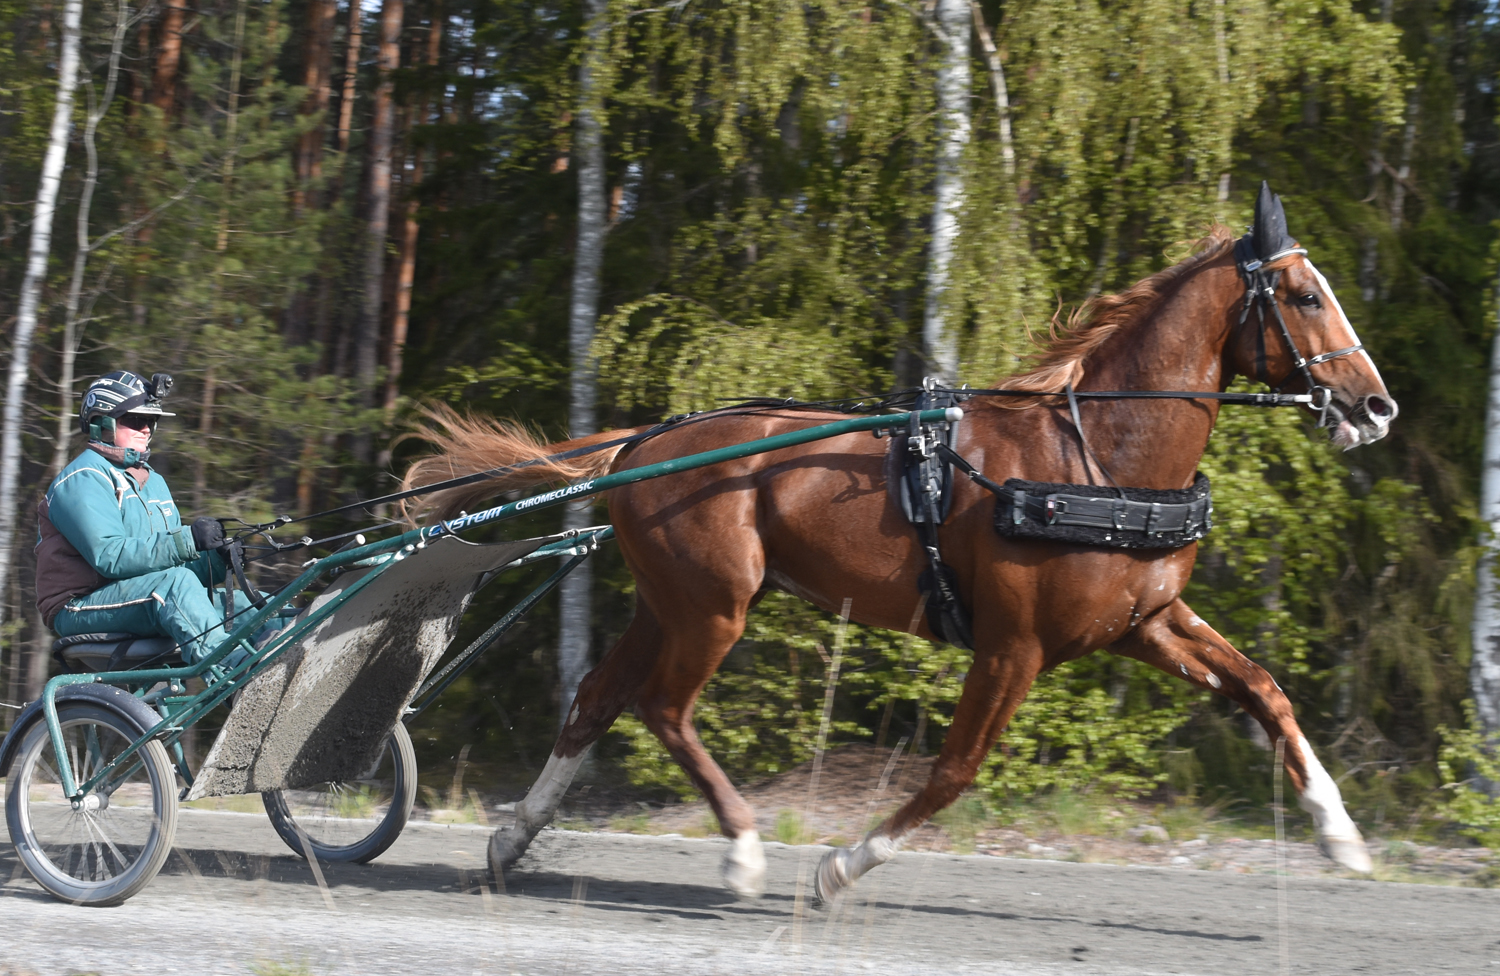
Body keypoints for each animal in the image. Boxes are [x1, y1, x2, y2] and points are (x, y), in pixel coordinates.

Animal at [408, 187, 1392, 905]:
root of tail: (644, 443)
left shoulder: (1144, 623)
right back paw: (743, 850)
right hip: (715, 608)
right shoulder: (1012, 645)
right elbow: (955, 769)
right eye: (1306, 296)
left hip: (673, 604)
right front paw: (842, 863)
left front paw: (1340, 835)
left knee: (597, 699)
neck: (1096, 462)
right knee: (663, 708)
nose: (1376, 405)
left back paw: (512, 840)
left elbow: (1264, 689)